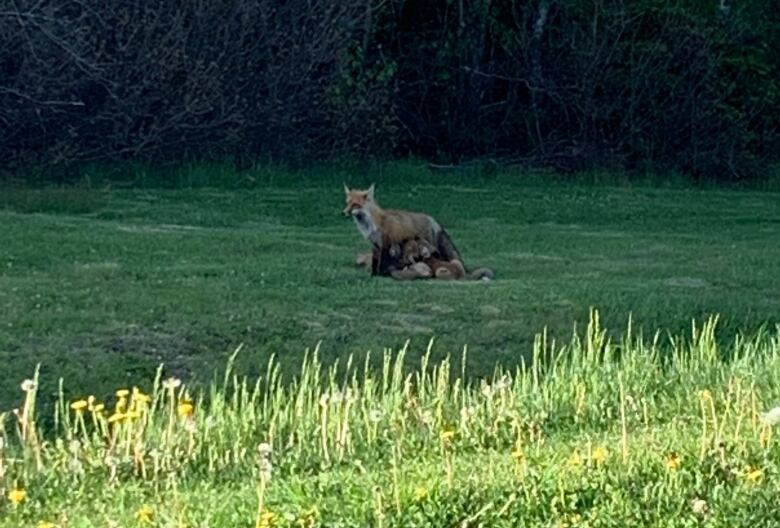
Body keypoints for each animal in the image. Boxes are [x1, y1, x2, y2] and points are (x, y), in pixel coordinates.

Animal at [342, 184, 494, 278]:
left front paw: (381, 275)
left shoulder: (385, 243)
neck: (371, 224)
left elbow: (381, 262)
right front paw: (373, 275)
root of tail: (433, 220)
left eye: (355, 205)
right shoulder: (375, 244)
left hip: (429, 245)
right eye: (347, 203)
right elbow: (375, 262)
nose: (344, 213)